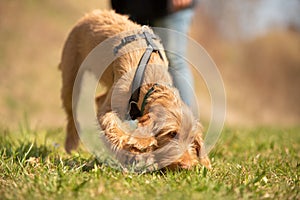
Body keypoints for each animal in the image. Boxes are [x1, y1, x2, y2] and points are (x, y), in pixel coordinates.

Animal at [59, 10, 211, 170]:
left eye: (191, 139)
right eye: (171, 133)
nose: (186, 166)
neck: (152, 83)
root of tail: (92, 13)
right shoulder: (109, 108)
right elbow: (112, 126)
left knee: (99, 98)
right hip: (71, 77)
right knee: (72, 111)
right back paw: (71, 144)